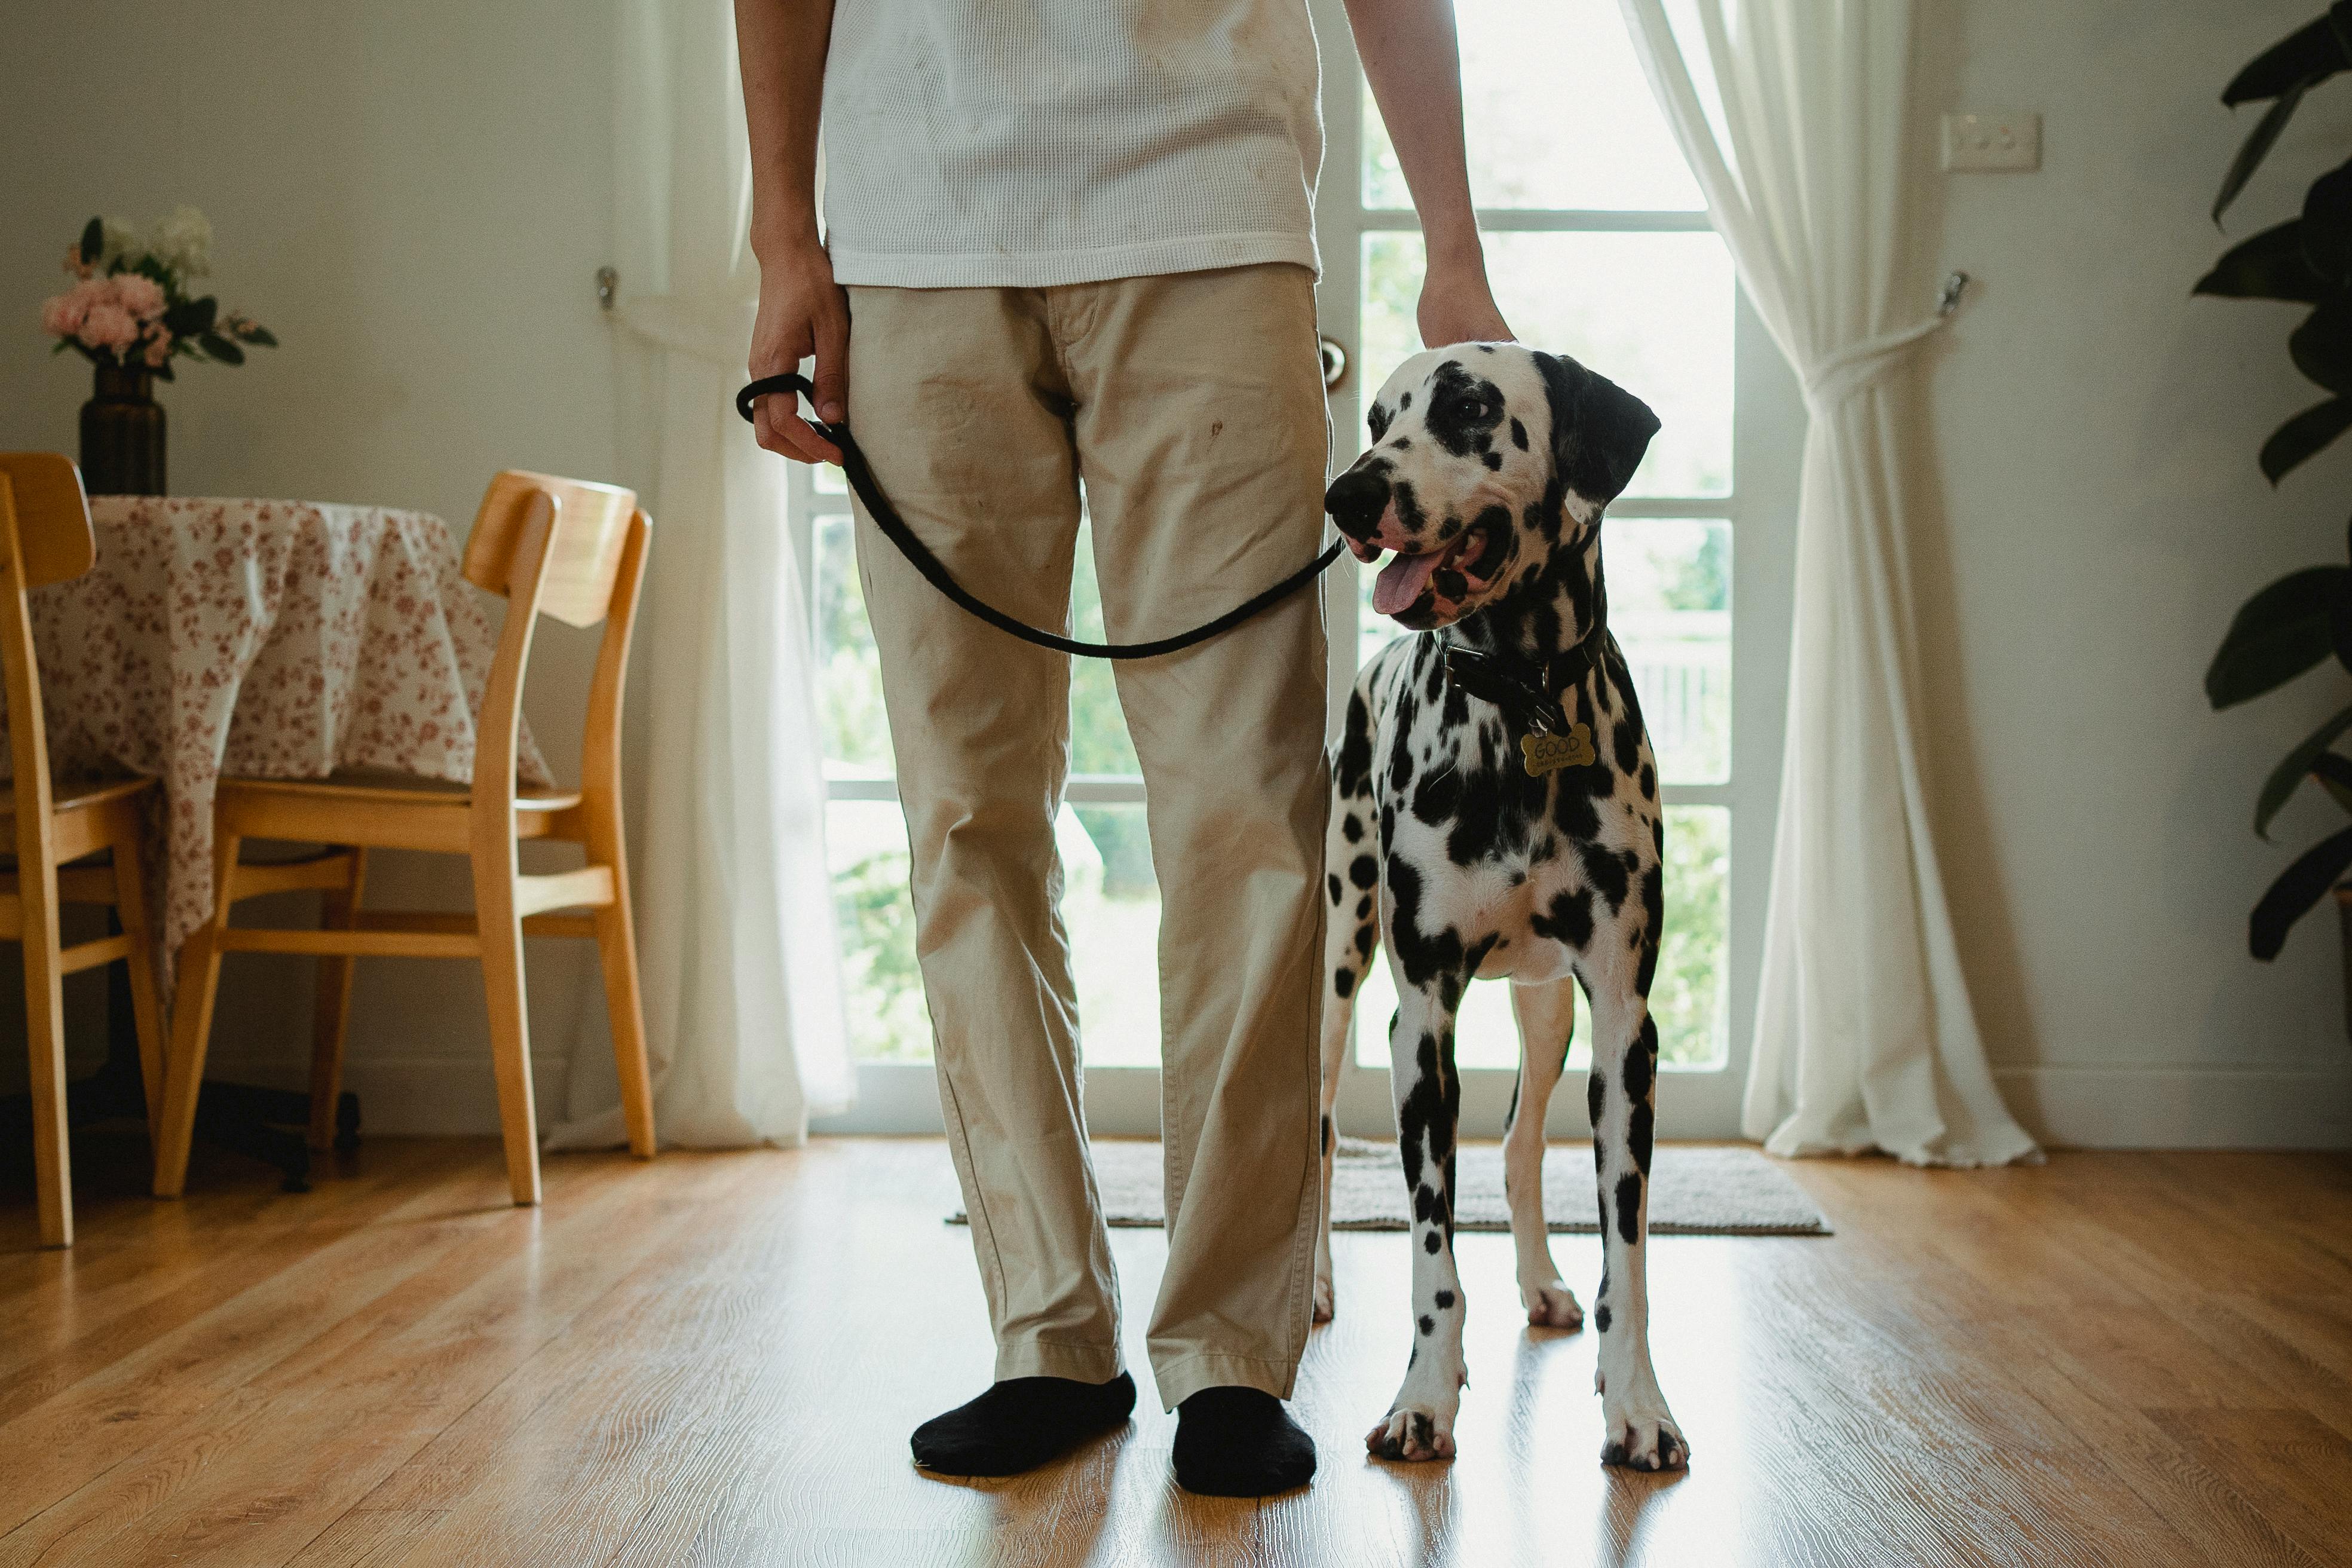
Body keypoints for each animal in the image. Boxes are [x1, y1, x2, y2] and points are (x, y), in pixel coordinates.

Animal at [1317, 341, 1684, 1476]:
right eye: (1380, 418)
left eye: (1471, 407)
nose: (1349, 493)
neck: (1520, 709)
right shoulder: (1420, 1021)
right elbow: (1433, 1254)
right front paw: (1423, 1399)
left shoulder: (1624, 1027)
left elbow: (1629, 1256)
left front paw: (1639, 1402)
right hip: (1337, 965)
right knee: (1314, 1126)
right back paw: (1313, 1288)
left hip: (1548, 1009)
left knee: (1522, 1149)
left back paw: (1538, 1281)